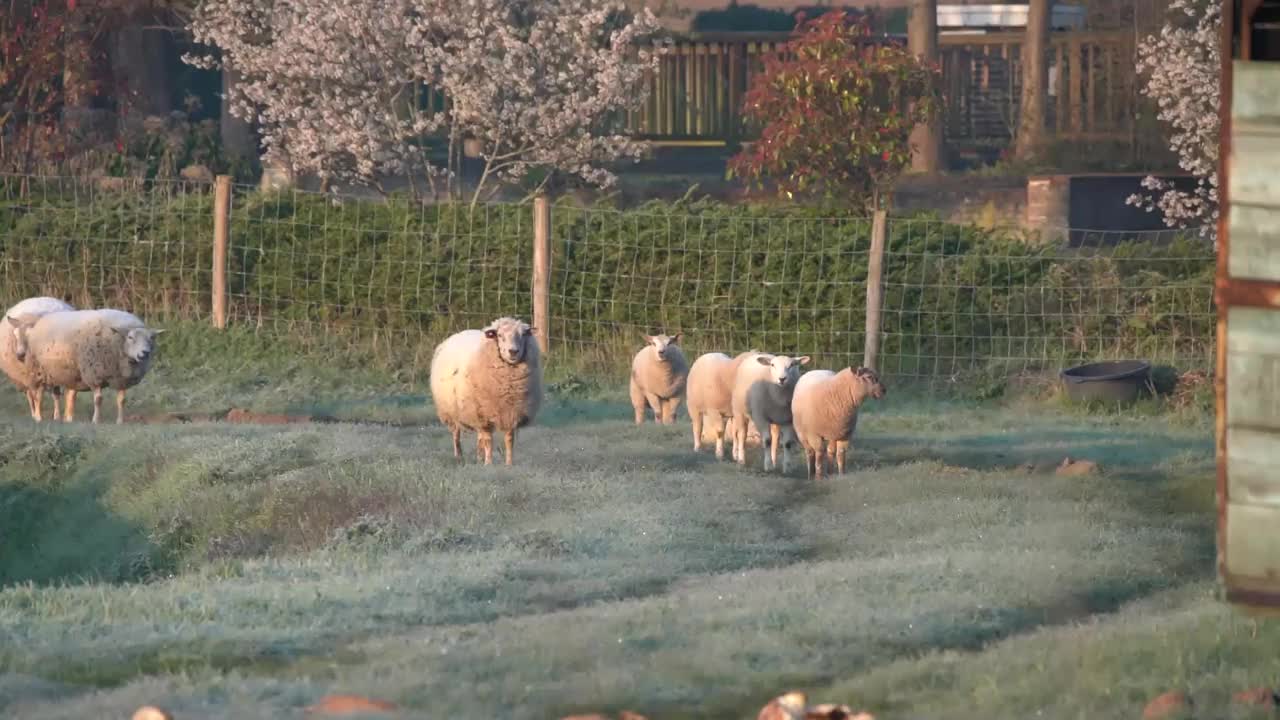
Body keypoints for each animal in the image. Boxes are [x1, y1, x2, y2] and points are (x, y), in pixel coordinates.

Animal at [6, 307, 166, 420]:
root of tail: (41, 321)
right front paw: (96, 421)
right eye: (130, 337)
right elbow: (98, 400)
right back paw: (38, 418)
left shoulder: (121, 379)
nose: (145, 353)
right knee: (38, 396)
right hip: (38, 372)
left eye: (151, 338)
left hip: (60, 374)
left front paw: (120, 422)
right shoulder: (94, 374)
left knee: (60, 395)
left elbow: (122, 401)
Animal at [427, 315, 542, 466]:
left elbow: (509, 439)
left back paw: (479, 456)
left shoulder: (512, 412)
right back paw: (459, 456)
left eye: (523, 335)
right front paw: (489, 463)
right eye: (500, 335)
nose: (513, 351)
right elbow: (488, 440)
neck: (508, 384)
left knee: (478, 437)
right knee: (456, 433)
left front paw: (509, 463)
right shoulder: (483, 414)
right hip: (451, 411)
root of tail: (457, 334)